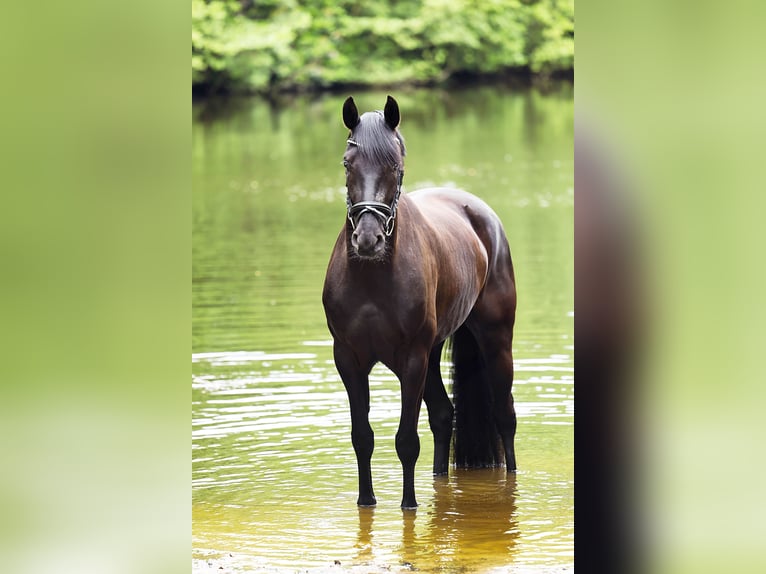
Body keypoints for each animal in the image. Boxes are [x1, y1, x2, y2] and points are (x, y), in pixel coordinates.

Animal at [320, 95, 520, 512]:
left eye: (395, 166)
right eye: (348, 164)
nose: (368, 239)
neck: (372, 279)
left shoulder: (411, 359)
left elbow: (406, 441)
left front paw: (409, 505)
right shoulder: (348, 359)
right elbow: (362, 437)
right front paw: (367, 501)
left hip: (495, 340)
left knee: (504, 416)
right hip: (434, 351)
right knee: (444, 415)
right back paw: (439, 477)